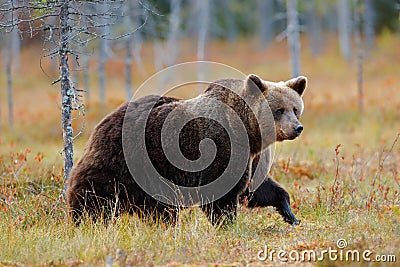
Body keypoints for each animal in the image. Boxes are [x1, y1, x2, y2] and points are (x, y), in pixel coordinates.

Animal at [67, 74, 308, 227]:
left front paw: (290, 214)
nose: (297, 127)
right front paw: (227, 224)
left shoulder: (251, 156)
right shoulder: (222, 147)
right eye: (279, 110)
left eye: (295, 108)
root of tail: (101, 124)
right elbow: (221, 195)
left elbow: (258, 187)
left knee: (158, 210)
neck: (248, 133)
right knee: (94, 200)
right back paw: (84, 222)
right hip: (121, 164)